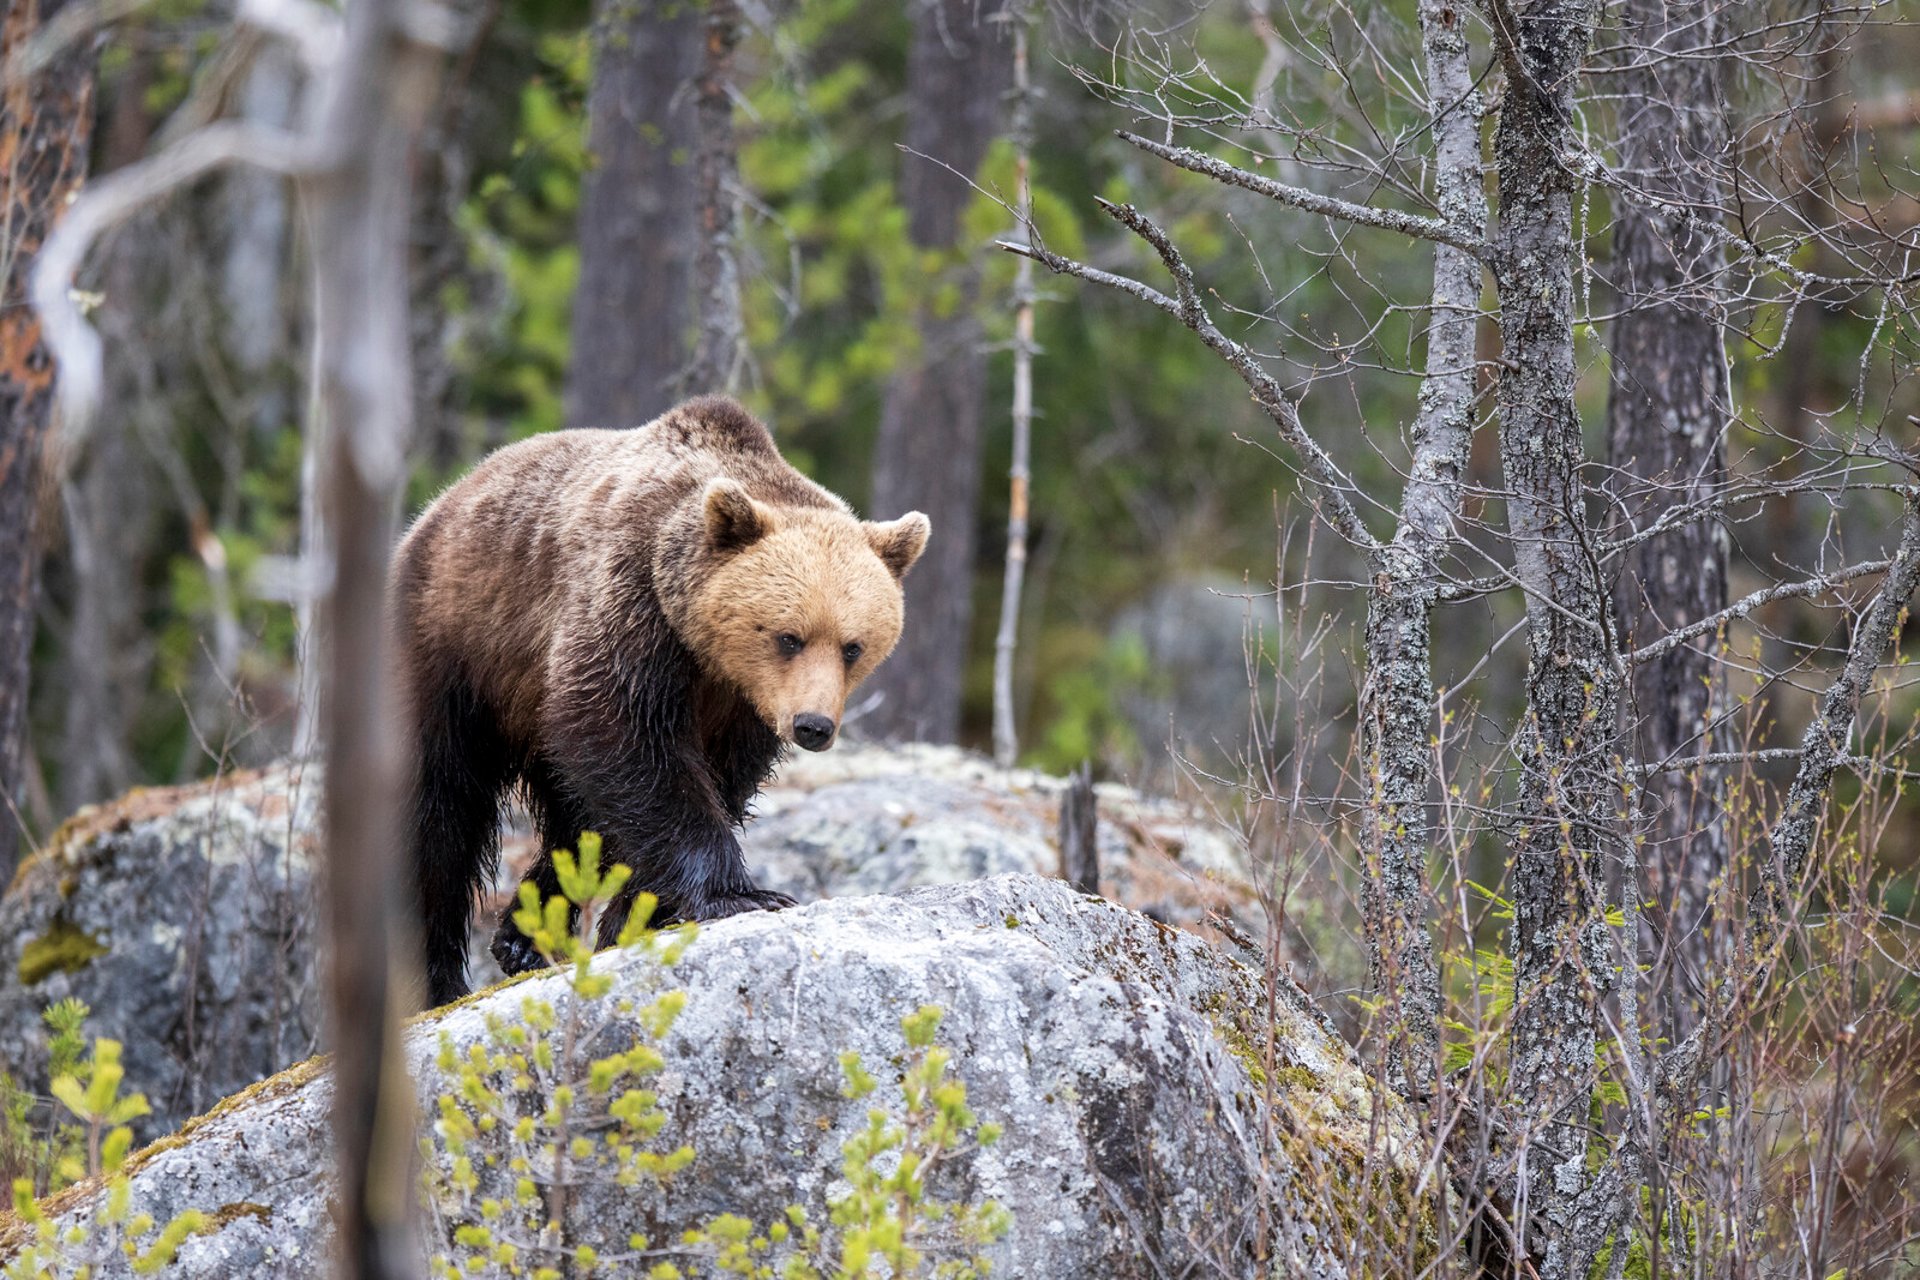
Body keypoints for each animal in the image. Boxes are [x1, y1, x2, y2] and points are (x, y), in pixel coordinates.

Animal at [389, 395, 929, 1005]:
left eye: (852, 646)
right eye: (788, 636)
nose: (813, 725)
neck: (706, 651)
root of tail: (440, 503)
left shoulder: (741, 707)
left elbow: (702, 782)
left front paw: (637, 915)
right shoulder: (630, 608)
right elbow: (632, 745)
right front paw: (743, 894)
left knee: (572, 813)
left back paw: (523, 936)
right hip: (454, 647)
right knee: (437, 814)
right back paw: (438, 978)